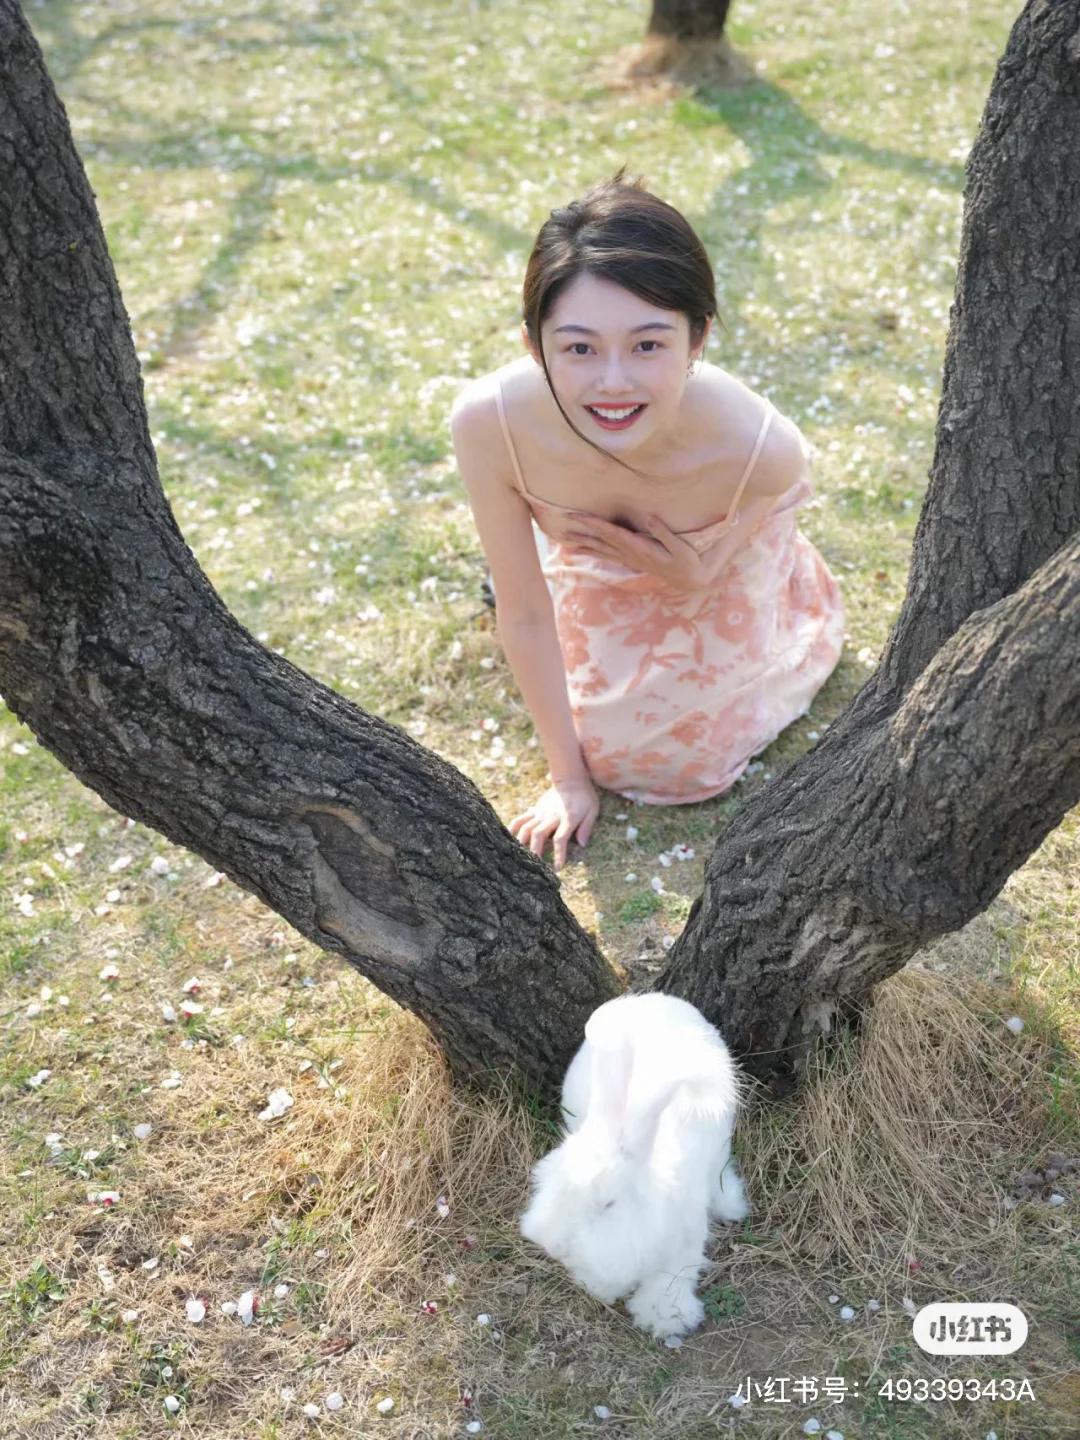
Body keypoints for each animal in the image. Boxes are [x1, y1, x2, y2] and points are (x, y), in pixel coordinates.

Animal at [521, 990, 748, 1336]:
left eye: (608, 1204)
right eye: (550, 1185)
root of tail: (658, 997)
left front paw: (664, 1317)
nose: (554, 1247)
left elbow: (672, 1279)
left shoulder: (685, 1240)